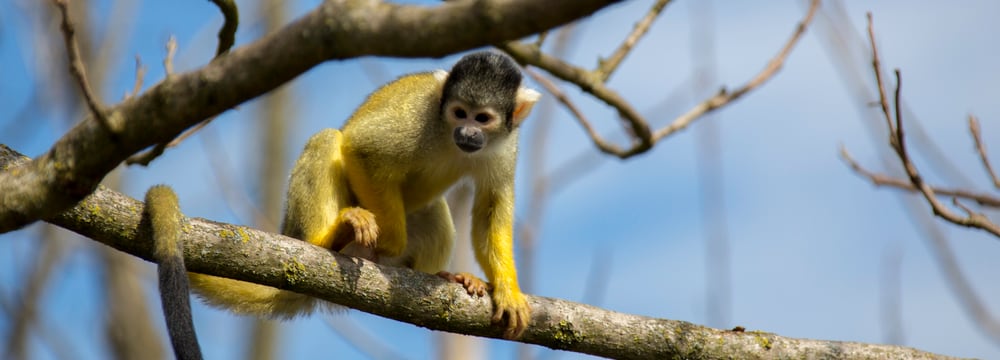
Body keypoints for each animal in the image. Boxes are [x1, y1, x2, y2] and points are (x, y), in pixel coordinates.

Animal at [187, 52, 540, 338]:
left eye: (482, 118)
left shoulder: (506, 144)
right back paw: (330, 238)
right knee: (329, 140)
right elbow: (362, 148)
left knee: (433, 212)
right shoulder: (421, 120)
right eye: (459, 112)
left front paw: (508, 291)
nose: (467, 132)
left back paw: (443, 276)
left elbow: (491, 207)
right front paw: (391, 239)